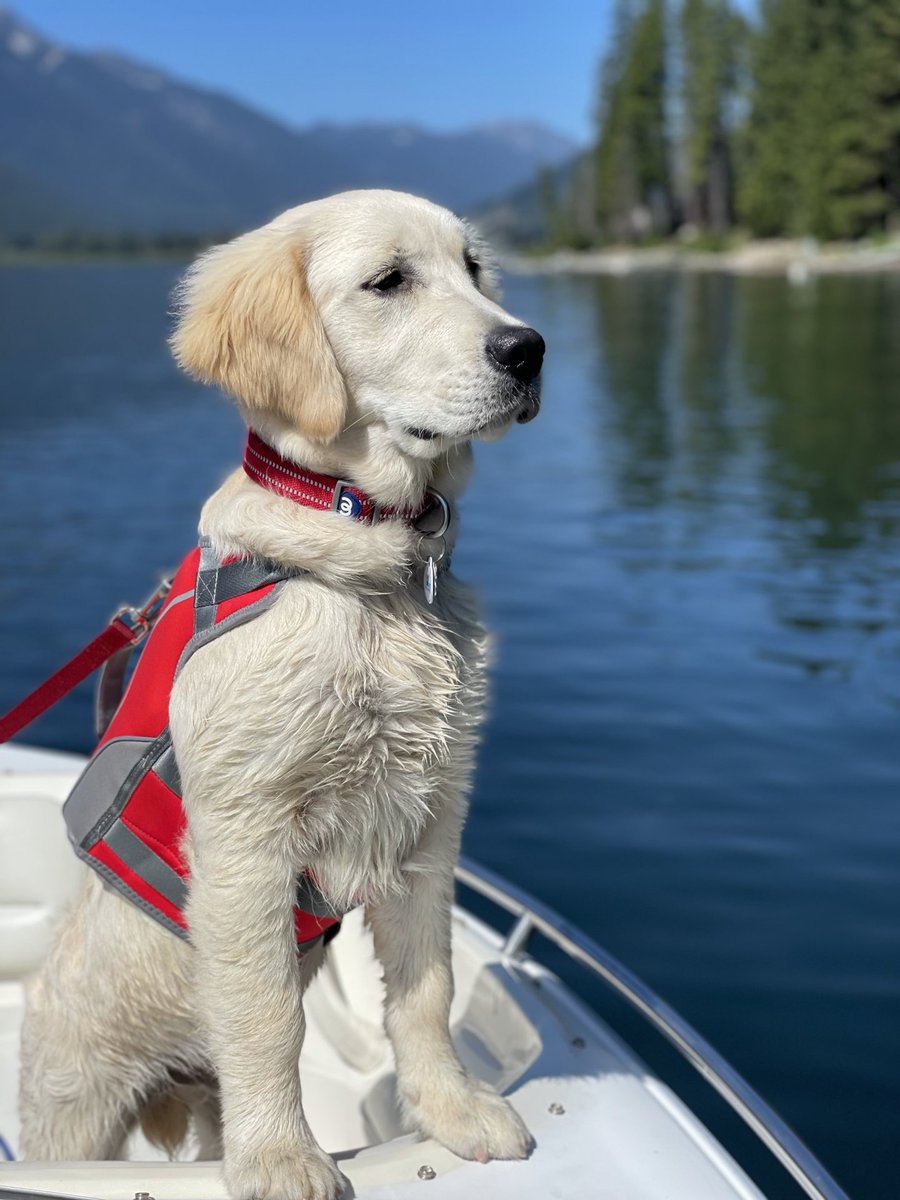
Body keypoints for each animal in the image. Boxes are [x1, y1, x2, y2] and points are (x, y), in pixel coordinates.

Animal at [17, 187, 547, 1200]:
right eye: (389, 281)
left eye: (474, 269)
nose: (529, 349)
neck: (373, 571)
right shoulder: (248, 837)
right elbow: (269, 1018)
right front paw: (281, 1158)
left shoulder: (433, 814)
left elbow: (426, 987)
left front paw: (452, 1111)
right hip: (76, 1106)